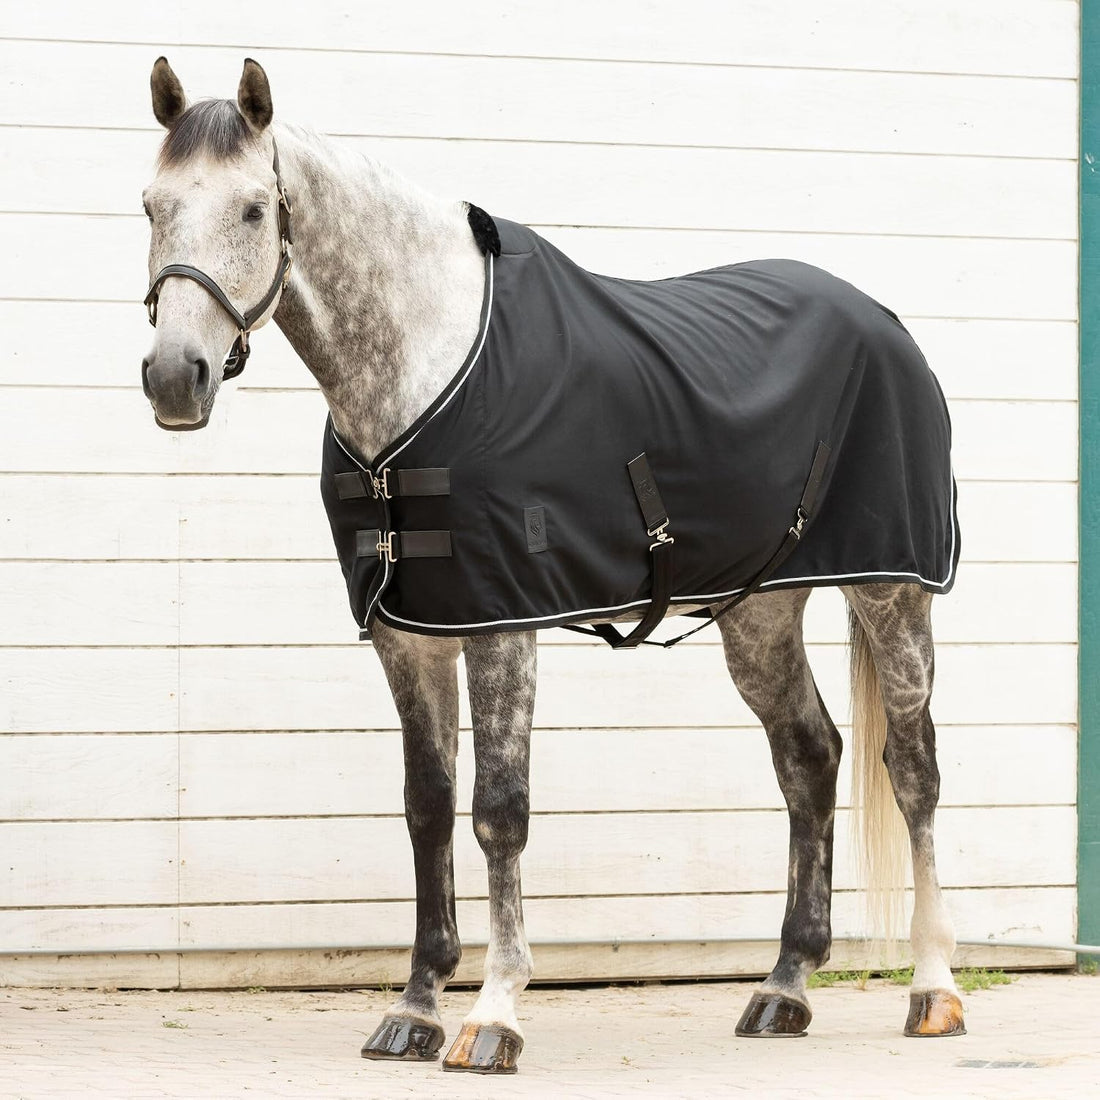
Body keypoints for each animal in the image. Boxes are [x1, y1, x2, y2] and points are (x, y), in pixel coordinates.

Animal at [139, 57, 966, 1074]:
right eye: (152, 206)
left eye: (255, 209)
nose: (175, 379)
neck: (426, 366)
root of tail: (883, 320)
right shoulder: (412, 633)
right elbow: (426, 805)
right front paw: (415, 1009)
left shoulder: (501, 623)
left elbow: (500, 809)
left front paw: (495, 1016)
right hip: (761, 608)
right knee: (809, 758)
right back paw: (784, 988)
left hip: (893, 592)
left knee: (913, 768)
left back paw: (934, 987)